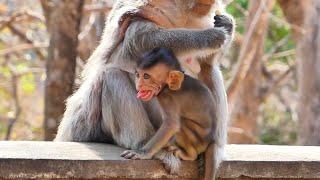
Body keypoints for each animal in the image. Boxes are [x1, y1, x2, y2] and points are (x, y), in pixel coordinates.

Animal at [55, 0, 232, 178]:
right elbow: (140, 39)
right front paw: (210, 37)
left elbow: (207, 61)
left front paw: (228, 24)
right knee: (112, 76)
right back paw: (147, 146)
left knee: (209, 71)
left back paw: (213, 149)